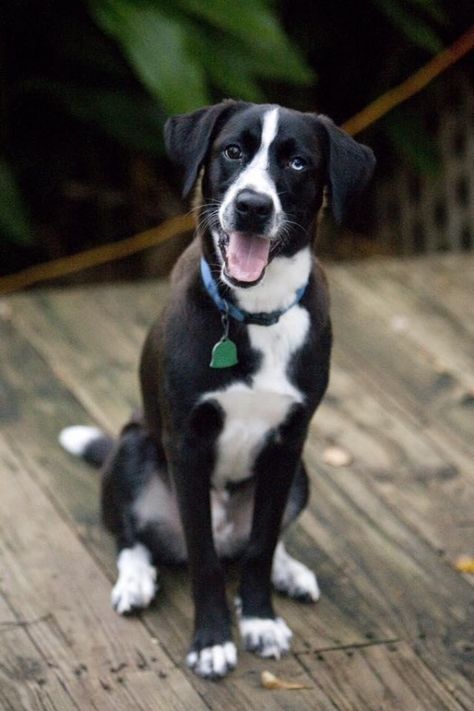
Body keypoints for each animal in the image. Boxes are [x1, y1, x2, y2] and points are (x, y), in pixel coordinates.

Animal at [59, 100, 374, 680]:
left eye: (297, 163)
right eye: (232, 151)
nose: (252, 206)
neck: (257, 313)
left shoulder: (288, 444)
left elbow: (263, 544)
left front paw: (259, 620)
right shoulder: (186, 444)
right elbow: (203, 558)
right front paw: (211, 642)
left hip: (302, 473)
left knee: (258, 541)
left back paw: (289, 571)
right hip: (135, 447)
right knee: (132, 536)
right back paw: (136, 581)